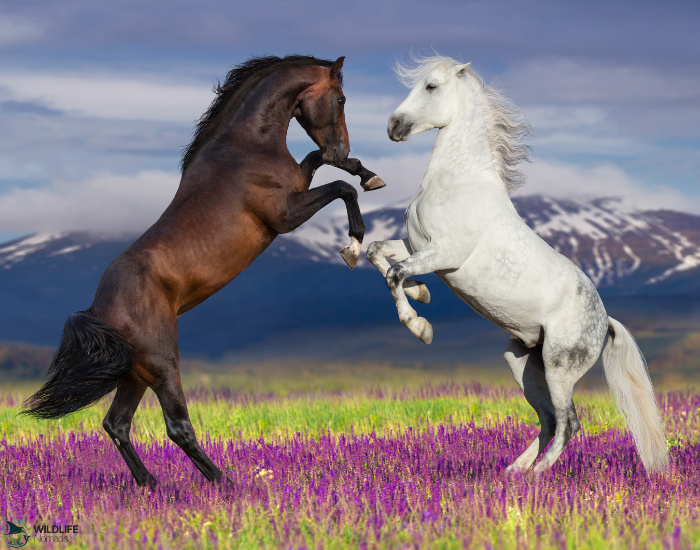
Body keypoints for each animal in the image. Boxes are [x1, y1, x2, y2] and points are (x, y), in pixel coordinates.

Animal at [22, 54, 386, 486]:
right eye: (342, 99)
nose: (340, 145)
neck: (246, 147)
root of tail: (98, 310)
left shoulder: (299, 183)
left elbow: (324, 166)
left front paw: (367, 173)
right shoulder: (285, 216)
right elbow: (342, 189)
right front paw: (353, 245)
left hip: (135, 373)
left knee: (117, 424)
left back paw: (151, 485)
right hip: (163, 365)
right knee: (176, 427)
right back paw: (225, 483)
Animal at [367, 54, 669, 474]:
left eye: (431, 86)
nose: (394, 127)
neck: (458, 182)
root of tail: (605, 321)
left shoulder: (444, 253)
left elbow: (395, 273)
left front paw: (420, 327)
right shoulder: (416, 244)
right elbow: (376, 252)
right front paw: (422, 293)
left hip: (559, 368)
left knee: (569, 422)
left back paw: (537, 475)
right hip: (522, 363)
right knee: (548, 420)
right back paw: (514, 473)